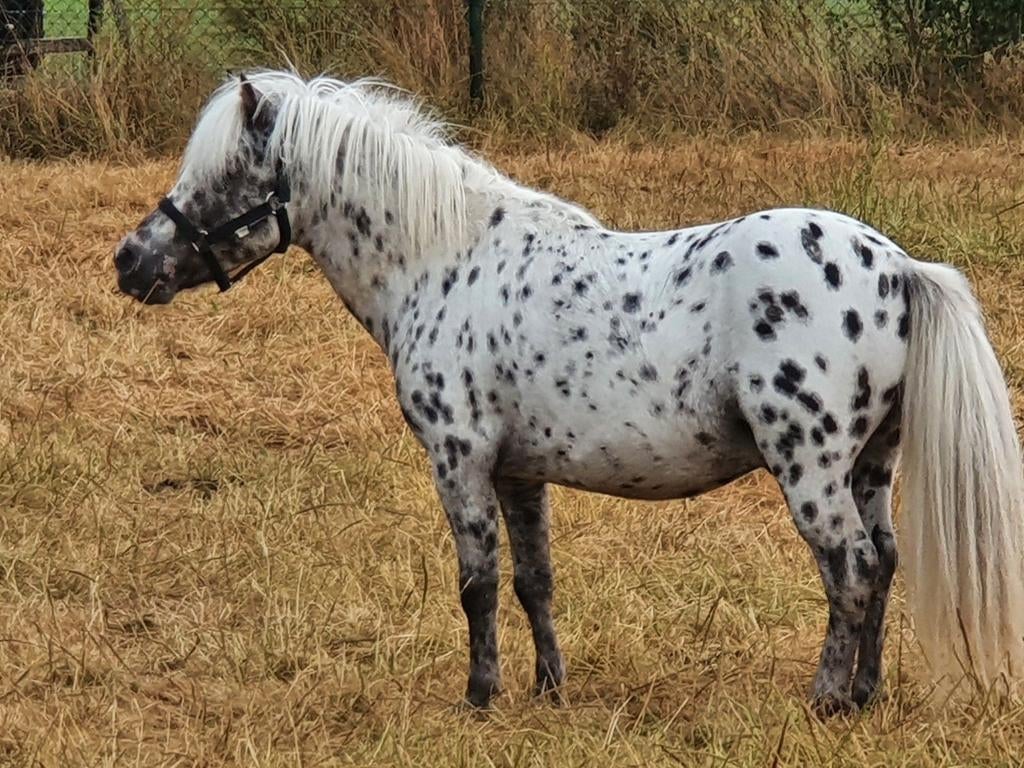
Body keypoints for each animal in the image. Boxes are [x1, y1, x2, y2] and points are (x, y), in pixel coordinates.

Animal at [113, 70, 1024, 715]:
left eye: (225, 174)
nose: (130, 261)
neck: (443, 261)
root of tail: (898, 266)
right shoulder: (520, 472)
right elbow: (533, 581)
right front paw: (548, 689)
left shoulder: (459, 461)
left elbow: (476, 583)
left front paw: (479, 698)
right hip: (873, 464)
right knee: (887, 562)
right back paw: (864, 695)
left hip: (811, 468)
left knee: (853, 568)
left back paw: (827, 701)